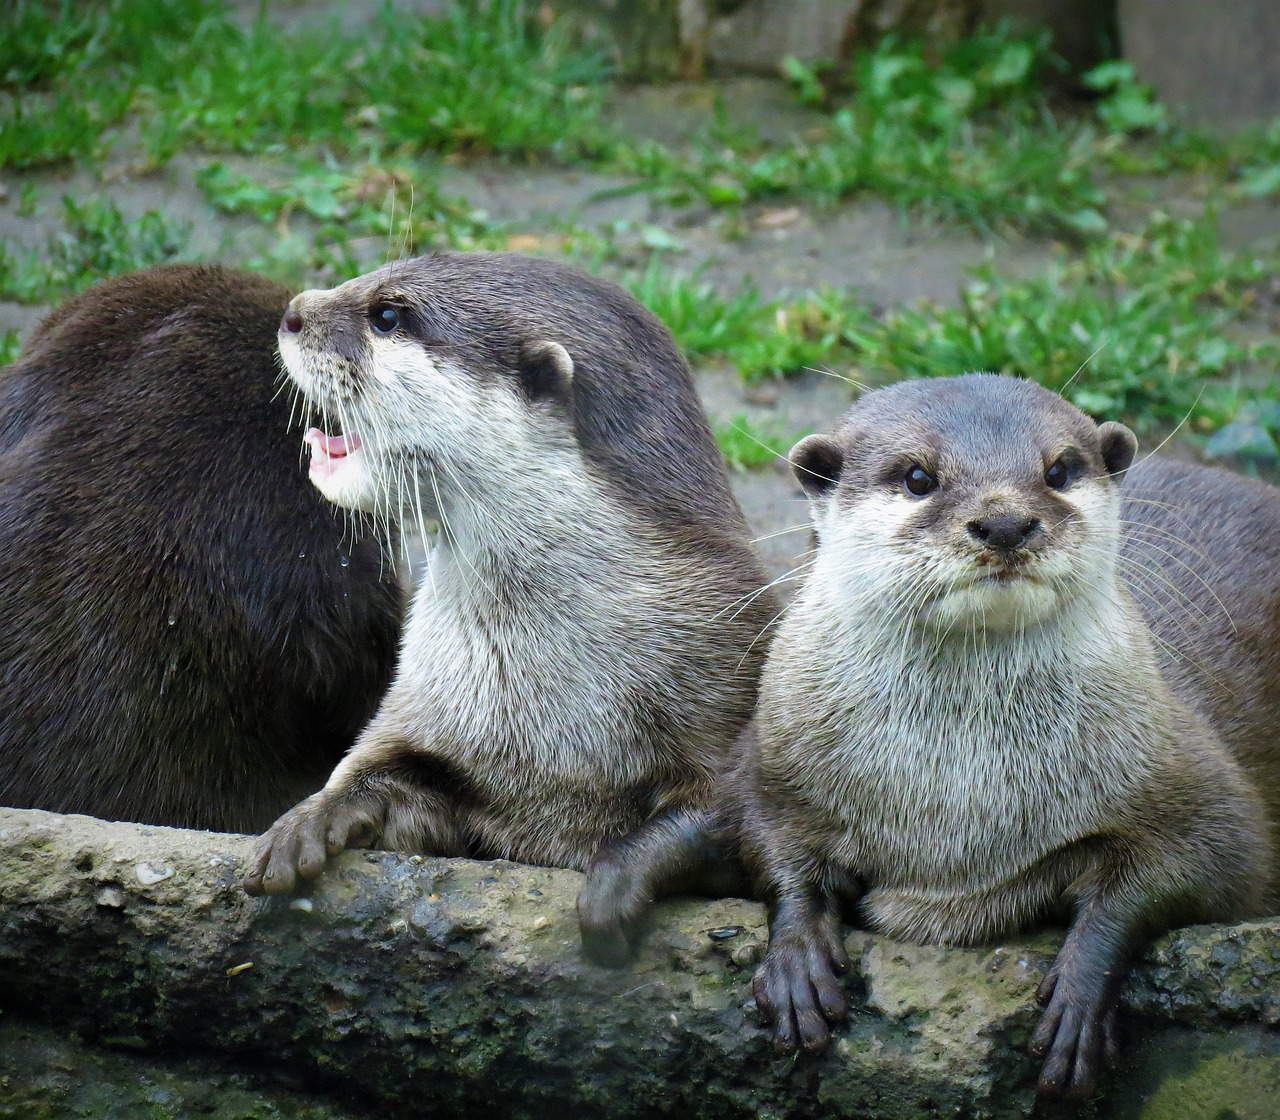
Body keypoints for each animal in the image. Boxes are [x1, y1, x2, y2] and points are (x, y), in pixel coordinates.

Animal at [243, 249, 773, 896]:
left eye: (388, 316)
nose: (293, 312)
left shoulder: (725, 676)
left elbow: (719, 818)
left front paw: (617, 876)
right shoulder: (428, 712)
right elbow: (384, 773)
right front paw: (304, 821)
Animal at [583, 378, 1280, 1105]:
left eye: (1059, 471)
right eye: (919, 477)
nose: (1004, 522)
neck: (950, 815)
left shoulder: (1195, 784)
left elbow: (1202, 864)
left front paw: (1081, 997)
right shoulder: (772, 757)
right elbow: (765, 837)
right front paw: (795, 955)